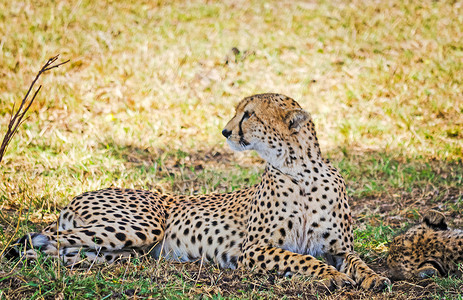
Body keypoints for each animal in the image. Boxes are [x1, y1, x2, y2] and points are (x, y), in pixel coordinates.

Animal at [7, 94, 392, 290]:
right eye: (238, 111)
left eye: (249, 114)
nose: (225, 131)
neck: (301, 170)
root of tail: (78, 196)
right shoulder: (252, 250)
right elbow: (303, 258)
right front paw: (332, 277)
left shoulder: (339, 248)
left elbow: (359, 262)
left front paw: (376, 279)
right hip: (142, 227)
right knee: (44, 239)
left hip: (122, 251)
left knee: (65, 248)